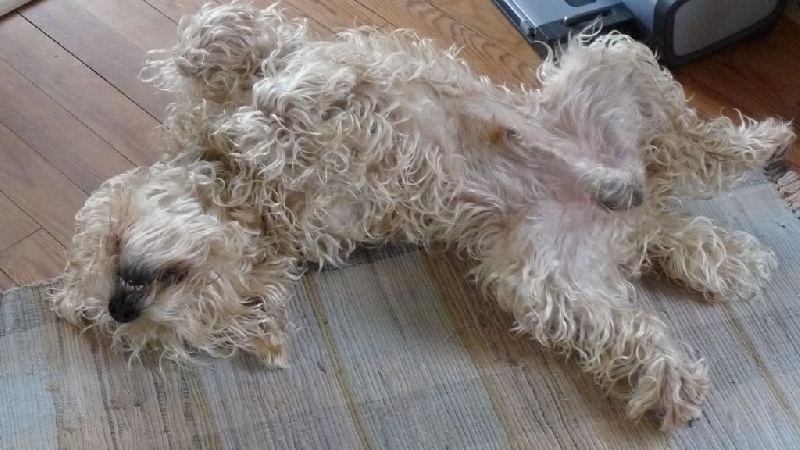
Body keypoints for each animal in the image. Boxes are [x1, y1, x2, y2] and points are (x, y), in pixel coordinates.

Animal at [47, 2, 795, 430]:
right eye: (132, 334)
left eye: (107, 242)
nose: (118, 307)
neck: (253, 201)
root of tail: (629, 220)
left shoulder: (290, 61)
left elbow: (222, 47)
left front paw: (265, 109)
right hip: (544, 278)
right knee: (636, 308)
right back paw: (675, 374)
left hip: (607, 61)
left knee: (689, 145)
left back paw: (760, 141)